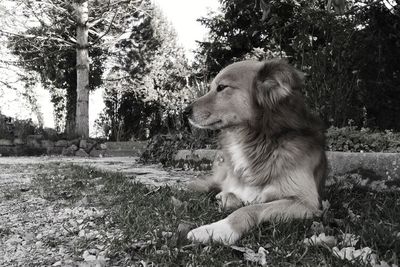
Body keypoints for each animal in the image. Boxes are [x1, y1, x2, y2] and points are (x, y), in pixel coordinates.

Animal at [184, 59, 324, 246]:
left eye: (221, 87)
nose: (185, 111)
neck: (253, 141)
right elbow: (232, 196)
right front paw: (224, 201)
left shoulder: (306, 203)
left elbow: (251, 208)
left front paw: (216, 229)